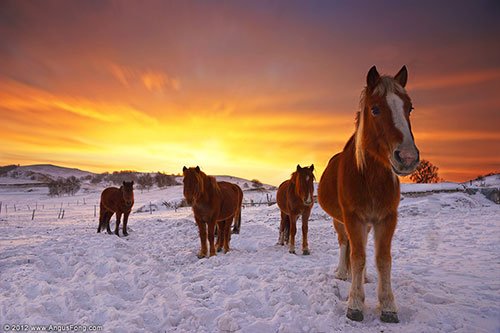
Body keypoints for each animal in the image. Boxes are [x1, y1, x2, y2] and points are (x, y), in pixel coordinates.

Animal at [318, 65, 420, 322]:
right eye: (375, 109)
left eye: (409, 107)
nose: (407, 157)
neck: (369, 177)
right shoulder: (353, 218)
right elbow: (357, 256)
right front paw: (355, 304)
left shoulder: (386, 218)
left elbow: (383, 260)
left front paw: (388, 306)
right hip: (339, 220)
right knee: (345, 244)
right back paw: (342, 272)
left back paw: (362, 278)